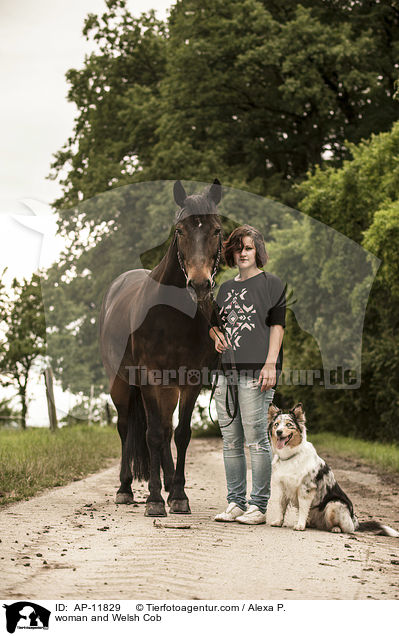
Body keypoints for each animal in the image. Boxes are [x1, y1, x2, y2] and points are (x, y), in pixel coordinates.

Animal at [100, 179, 223, 516]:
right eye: (180, 230)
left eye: (217, 230)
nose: (199, 285)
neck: (172, 315)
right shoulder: (150, 377)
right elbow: (152, 435)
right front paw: (154, 499)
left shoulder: (191, 379)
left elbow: (181, 434)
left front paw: (178, 494)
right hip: (122, 384)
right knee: (127, 428)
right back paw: (126, 488)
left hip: (168, 388)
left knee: (167, 429)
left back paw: (168, 484)